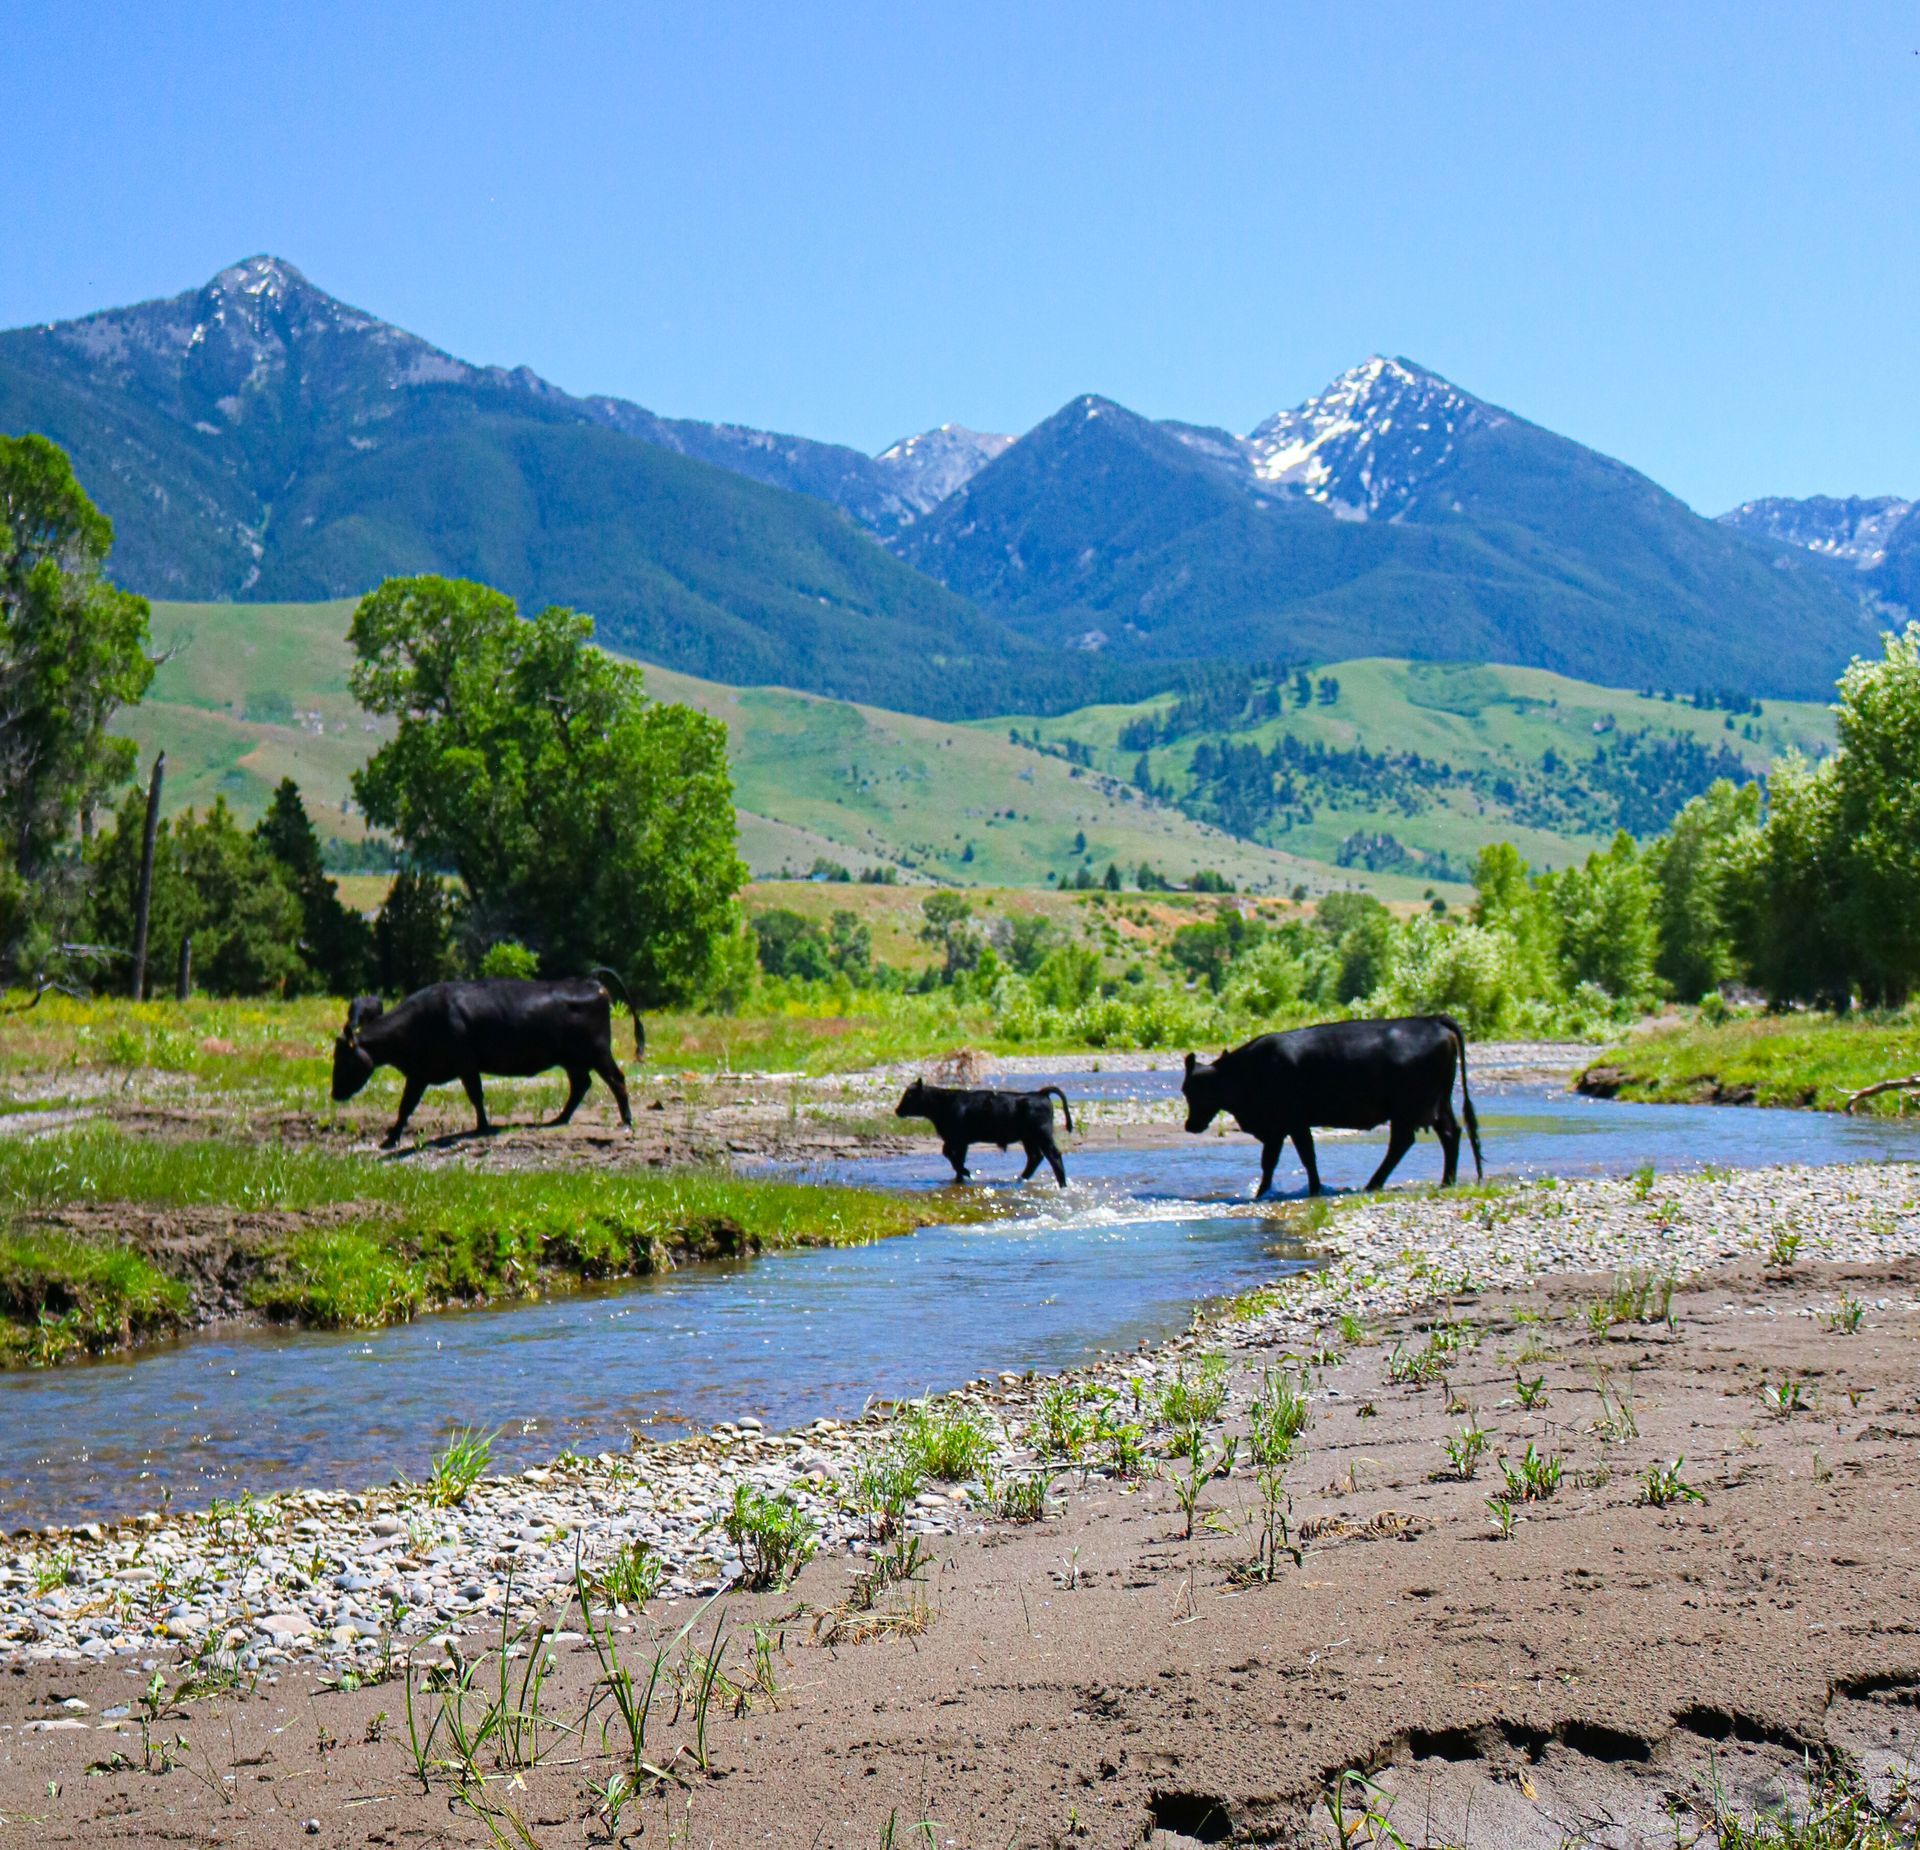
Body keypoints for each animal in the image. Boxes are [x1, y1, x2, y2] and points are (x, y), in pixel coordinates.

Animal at [331, 972, 643, 1148]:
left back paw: (626, 1121)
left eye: (344, 1059)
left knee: (616, 1080)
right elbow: (405, 1106)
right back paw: (559, 1118)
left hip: (598, 1052)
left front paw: (482, 1126)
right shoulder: (419, 1074)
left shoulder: (465, 1065)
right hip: (573, 1060)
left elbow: (475, 1096)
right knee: (581, 1085)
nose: (334, 1094)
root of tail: (590, 981)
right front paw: (391, 1138)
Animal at [895, 1079, 1075, 1186]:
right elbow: (954, 1156)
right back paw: (1020, 1178)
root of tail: (1039, 1093)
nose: (897, 1110)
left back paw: (1062, 1184)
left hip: (1042, 1135)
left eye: (909, 1096)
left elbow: (952, 1156)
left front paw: (965, 1173)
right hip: (1029, 1139)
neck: (944, 1102)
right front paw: (959, 1178)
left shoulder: (958, 1140)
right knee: (1035, 1157)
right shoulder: (957, 1141)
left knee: (1053, 1156)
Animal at [1181, 1015, 1482, 1197]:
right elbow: (1278, 1160)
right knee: (1450, 1133)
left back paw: (1373, 1184)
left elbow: (1298, 1157)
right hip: (1438, 1104)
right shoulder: (1281, 1127)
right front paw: (1270, 1191)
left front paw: (1306, 1189)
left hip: (1408, 1109)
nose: (1190, 1125)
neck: (1247, 1071)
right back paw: (1446, 1181)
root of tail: (1432, 1020)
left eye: (1191, 1090)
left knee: (1402, 1142)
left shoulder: (1291, 1122)